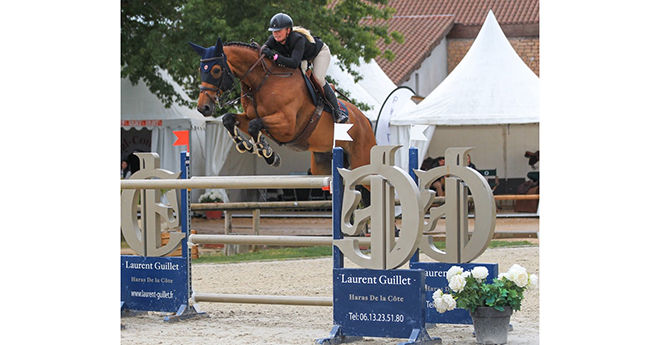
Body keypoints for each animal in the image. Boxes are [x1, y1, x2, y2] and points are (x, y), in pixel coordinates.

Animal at [191, 38, 376, 175]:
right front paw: (249, 146)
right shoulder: (251, 116)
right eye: (200, 70)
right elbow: (229, 119)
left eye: (216, 70)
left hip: (361, 160)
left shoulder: (288, 126)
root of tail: (364, 120)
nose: (203, 108)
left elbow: (254, 125)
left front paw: (267, 154)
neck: (262, 82)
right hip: (322, 162)